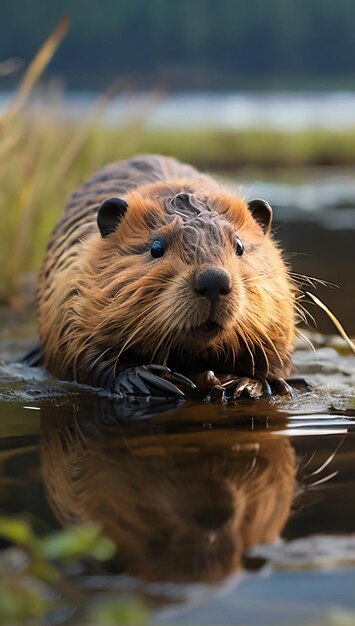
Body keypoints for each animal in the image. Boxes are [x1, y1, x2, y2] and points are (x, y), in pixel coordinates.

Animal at [36, 154, 298, 398]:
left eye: (240, 246)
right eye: (156, 248)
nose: (213, 280)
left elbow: (275, 355)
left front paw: (243, 383)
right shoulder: (71, 291)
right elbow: (82, 352)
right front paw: (151, 379)